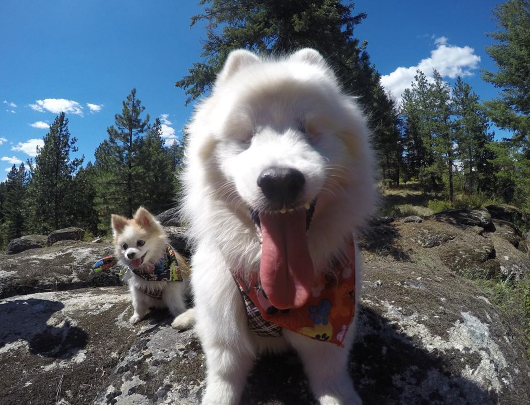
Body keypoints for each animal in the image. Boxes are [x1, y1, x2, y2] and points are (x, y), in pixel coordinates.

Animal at [179, 49, 374, 402]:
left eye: (310, 130)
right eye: (246, 135)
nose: (281, 181)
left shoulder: (328, 347)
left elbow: (331, 378)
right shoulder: (224, 333)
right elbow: (224, 374)